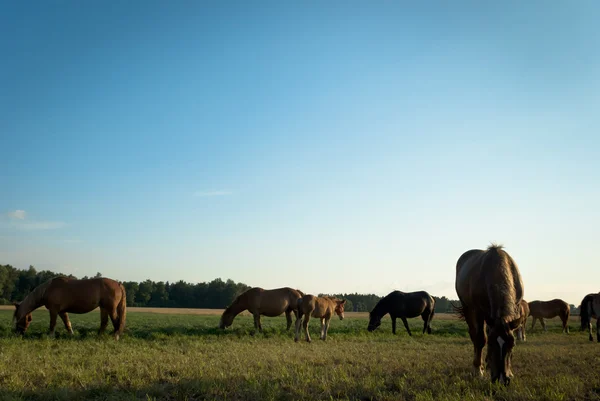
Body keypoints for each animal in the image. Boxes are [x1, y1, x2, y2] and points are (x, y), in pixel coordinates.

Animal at [454, 244, 524, 384]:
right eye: (491, 344)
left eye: (512, 344)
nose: (502, 379)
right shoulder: (479, 311)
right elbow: (481, 338)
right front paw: (478, 370)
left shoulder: (516, 308)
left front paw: (510, 372)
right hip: (468, 308)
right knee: (474, 335)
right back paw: (478, 364)